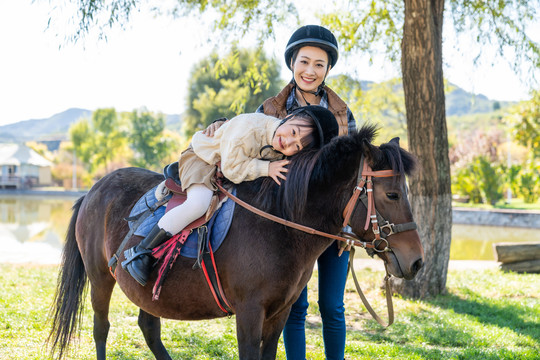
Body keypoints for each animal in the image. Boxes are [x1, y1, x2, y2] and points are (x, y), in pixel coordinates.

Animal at [48, 124, 424, 360]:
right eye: (392, 194)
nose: (417, 261)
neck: (277, 222)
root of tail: (93, 189)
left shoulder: (279, 313)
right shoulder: (249, 312)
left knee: (149, 328)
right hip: (100, 278)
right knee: (101, 329)